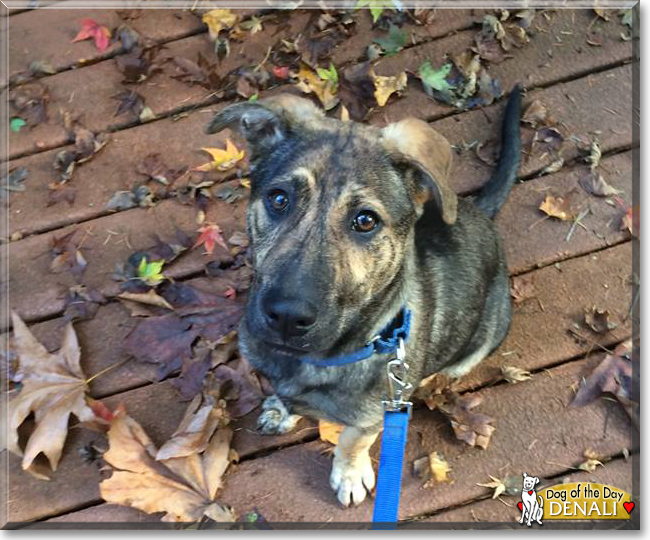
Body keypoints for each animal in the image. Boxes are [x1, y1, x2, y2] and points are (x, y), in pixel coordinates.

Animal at [205, 86, 520, 508]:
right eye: (278, 198)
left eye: (366, 221)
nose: (286, 317)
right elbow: (285, 395)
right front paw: (282, 409)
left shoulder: (376, 414)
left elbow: (353, 441)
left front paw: (349, 474)